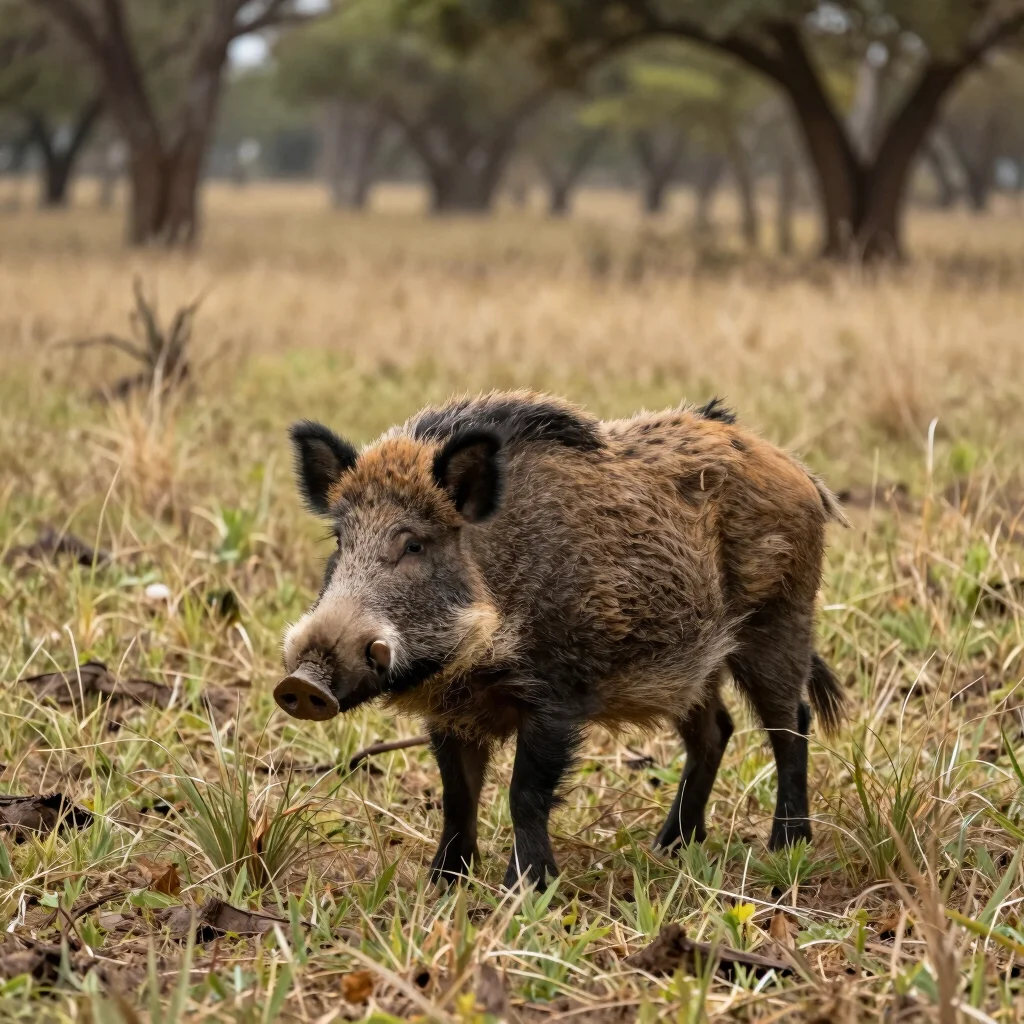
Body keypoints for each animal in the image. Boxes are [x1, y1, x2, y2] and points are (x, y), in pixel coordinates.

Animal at [276, 390, 848, 888]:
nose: (303, 684)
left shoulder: (557, 692)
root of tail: (801, 473)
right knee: (716, 731)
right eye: (340, 541)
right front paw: (442, 883)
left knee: (790, 723)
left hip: (779, 620)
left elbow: (525, 792)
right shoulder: (449, 710)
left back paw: (786, 846)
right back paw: (668, 847)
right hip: (694, 664)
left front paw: (526, 888)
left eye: (413, 544)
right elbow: (457, 794)